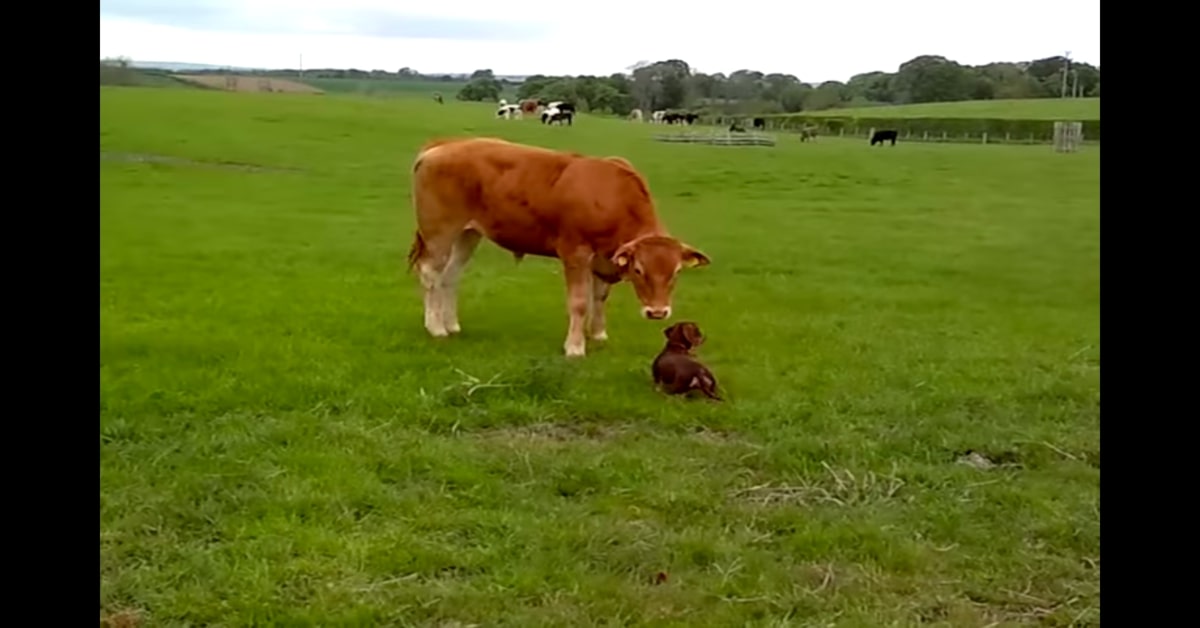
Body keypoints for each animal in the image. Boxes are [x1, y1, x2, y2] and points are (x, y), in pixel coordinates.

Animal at [408, 139, 705, 360]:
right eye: (640, 270)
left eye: (676, 272)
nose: (658, 313)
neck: (611, 196)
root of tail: (442, 145)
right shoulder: (575, 253)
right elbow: (579, 302)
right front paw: (574, 347)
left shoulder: (604, 258)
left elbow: (600, 296)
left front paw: (598, 334)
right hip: (440, 232)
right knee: (430, 273)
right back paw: (435, 327)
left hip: (468, 234)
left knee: (450, 276)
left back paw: (450, 324)